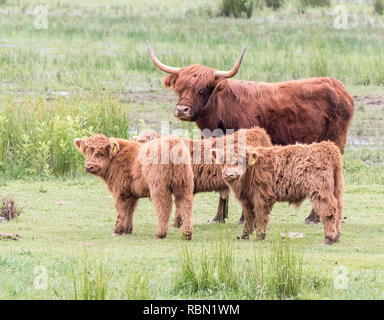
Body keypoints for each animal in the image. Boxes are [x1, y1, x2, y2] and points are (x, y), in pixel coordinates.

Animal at [146, 40, 354, 224]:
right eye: (179, 88)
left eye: (203, 89)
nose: (182, 110)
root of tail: (338, 86)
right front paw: (219, 217)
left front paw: (243, 217)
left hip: (335, 142)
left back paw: (314, 217)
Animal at [214, 141, 344, 245]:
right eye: (223, 160)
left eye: (241, 161)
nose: (229, 174)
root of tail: (325, 146)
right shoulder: (247, 199)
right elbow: (249, 216)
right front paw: (245, 235)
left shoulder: (262, 197)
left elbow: (261, 216)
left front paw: (260, 236)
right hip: (337, 189)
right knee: (338, 210)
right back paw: (337, 237)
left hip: (320, 191)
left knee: (329, 210)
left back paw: (329, 238)